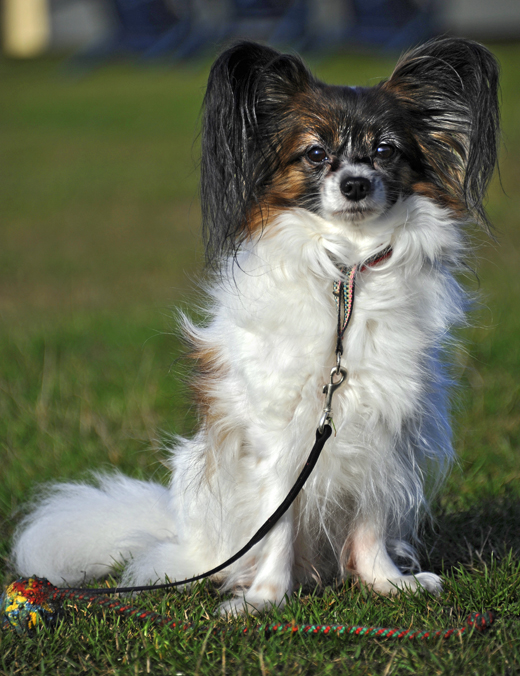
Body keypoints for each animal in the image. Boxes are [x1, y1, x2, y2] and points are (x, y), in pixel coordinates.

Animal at [12, 39, 500, 616]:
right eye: (315, 154)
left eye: (385, 151)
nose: (355, 185)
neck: (345, 277)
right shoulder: (280, 433)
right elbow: (278, 522)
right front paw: (264, 599)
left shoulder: (382, 425)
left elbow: (370, 518)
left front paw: (385, 581)